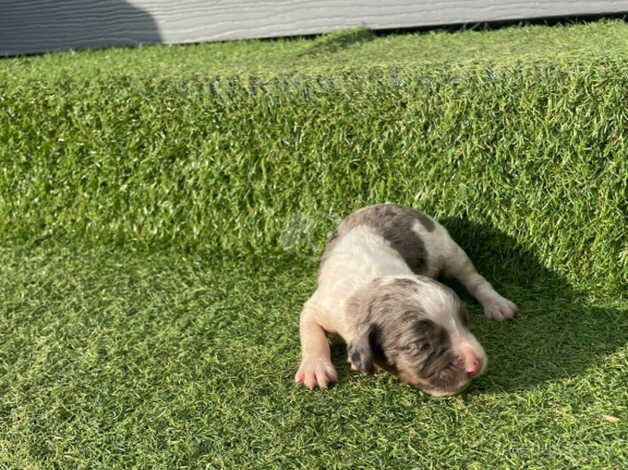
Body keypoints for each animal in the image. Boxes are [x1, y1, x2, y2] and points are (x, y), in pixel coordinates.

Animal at [294, 204, 516, 394]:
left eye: (465, 322)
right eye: (419, 346)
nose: (475, 363)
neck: (372, 284)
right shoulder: (322, 305)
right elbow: (312, 334)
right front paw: (315, 368)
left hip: (448, 249)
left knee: (474, 278)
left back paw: (497, 304)